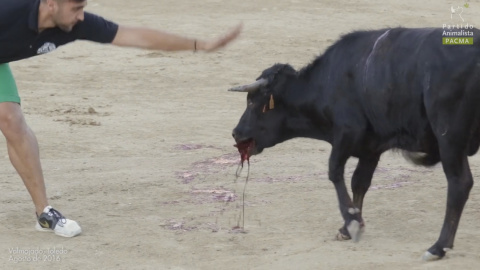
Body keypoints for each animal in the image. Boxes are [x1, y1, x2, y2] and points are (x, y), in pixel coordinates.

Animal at [229, 26, 480, 260]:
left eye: (252, 101)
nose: (235, 133)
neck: (326, 83)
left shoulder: (347, 134)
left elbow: (335, 172)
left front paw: (350, 221)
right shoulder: (371, 146)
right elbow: (359, 182)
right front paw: (350, 225)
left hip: (449, 138)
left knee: (459, 183)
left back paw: (438, 247)